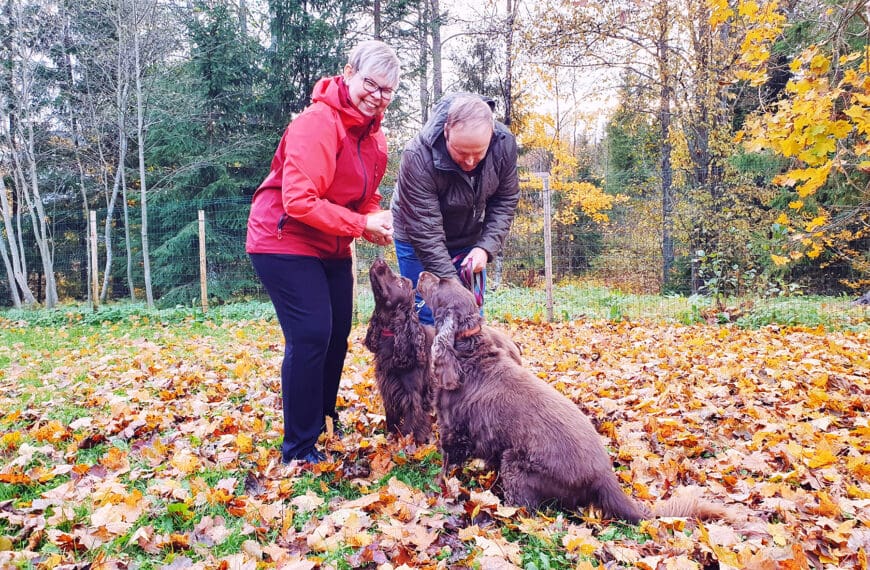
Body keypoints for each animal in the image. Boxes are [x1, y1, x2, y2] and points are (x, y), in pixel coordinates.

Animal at [418, 270, 732, 524]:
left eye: (440, 282)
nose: (421, 273)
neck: (467, 351)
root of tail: (605, 478)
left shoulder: (451, 426)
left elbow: (447, 461)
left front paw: (438, 484)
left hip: (516, 466)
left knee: (528, 510)